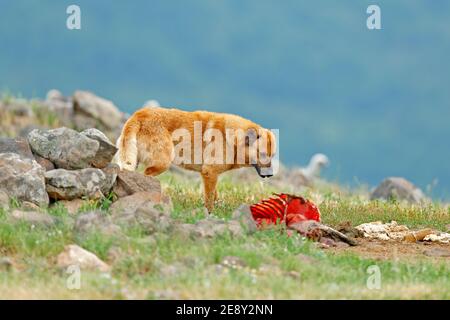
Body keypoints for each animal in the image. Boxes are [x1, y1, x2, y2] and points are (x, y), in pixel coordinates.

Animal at [114, 106, 276, 212]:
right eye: (262, 154)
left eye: (273, 155)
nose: (270, 175)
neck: (231, 139)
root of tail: (138, 115)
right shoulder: (210, 173)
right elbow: (209, 200)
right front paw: (210, 215)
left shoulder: (210, 175)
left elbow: (215, 195)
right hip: (162, 163)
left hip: (135, 162)